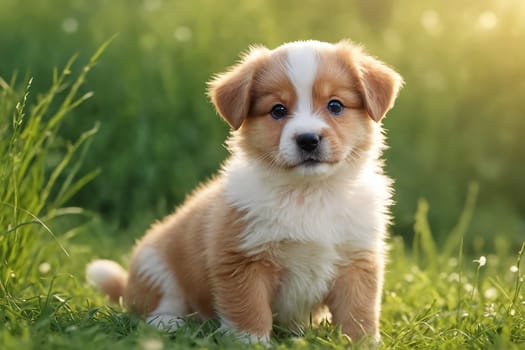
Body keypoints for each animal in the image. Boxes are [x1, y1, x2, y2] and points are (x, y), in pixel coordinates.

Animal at [88, 39, 404, 344]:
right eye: (278, 110)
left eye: (335, 106)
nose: (308, 139)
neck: (309, 193)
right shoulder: (241, 259)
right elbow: (249, 310)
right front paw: (251, 342)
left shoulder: (357, 260)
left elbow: (358, 313)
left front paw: (361, 342)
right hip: (155, 264)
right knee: (152, 306)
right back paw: (168, 323)